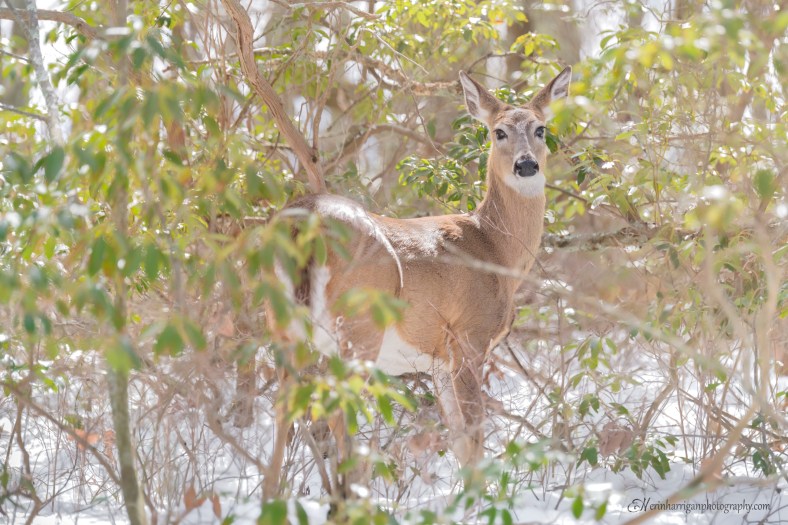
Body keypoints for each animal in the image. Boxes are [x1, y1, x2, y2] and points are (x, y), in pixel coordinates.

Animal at [263, 66, 572, 498]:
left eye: (540, 128)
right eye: (498, 131)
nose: (526, 166)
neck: (494, 247)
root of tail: (302, 224)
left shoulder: (438, 359)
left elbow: (459, 441)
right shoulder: (469, 336)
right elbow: (475, 437)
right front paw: (477, 503)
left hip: (281, 321)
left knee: (283, 407)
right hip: (359, 325)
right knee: (339, 413)